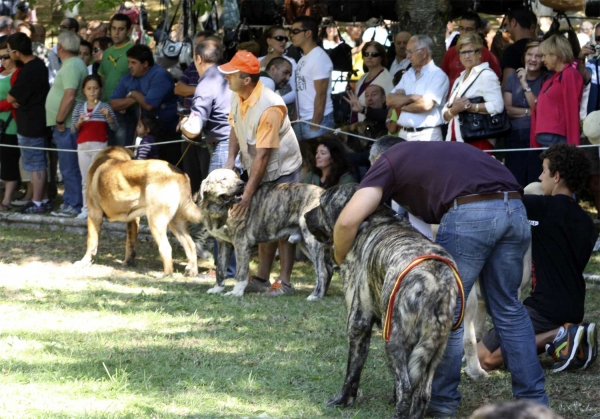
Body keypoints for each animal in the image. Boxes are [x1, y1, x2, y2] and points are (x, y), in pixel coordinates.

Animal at [74, 146, 202, 278]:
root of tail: (179, 174)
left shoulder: (94, 214)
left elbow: (91, 242)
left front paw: (85, 262)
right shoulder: (133, 219)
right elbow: (130, 243)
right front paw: (128, 262)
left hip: (156, 221)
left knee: (166, 248)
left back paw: (165, 275)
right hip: (176, 222)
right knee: (190, 245)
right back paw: (192, 271)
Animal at [200, 169, 332, 300]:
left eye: (236, 177)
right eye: (223, 179)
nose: (241, 184)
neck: (221, 209)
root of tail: (325, 193)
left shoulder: (241, 243)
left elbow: (241, 272)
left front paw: (236, 291)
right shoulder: (224, 244)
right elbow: (220, 269)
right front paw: (218, 288)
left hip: (311, 241)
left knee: (322, 271)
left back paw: (315, 296)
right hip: (304, 243)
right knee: (328, 267)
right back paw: (322, 293)